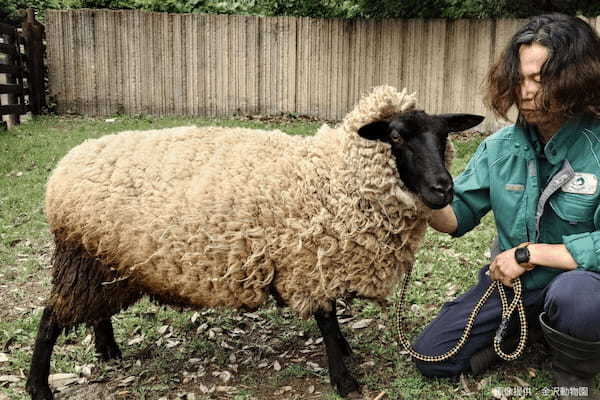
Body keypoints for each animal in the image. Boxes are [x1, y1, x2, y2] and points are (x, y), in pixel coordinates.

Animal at [27, 86, 482, 398]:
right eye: (397, 137)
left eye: (443, 136)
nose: (443, 189)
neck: (336, 177)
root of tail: (63, 169)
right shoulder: (308, 261)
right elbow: (327, 319)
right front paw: (344, 378)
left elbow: (332, 318)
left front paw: (346, 353)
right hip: (81, 256)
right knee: (51, 317)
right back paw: (38, 385)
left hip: (106, 256)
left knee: (94, 308)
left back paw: (108, 350)